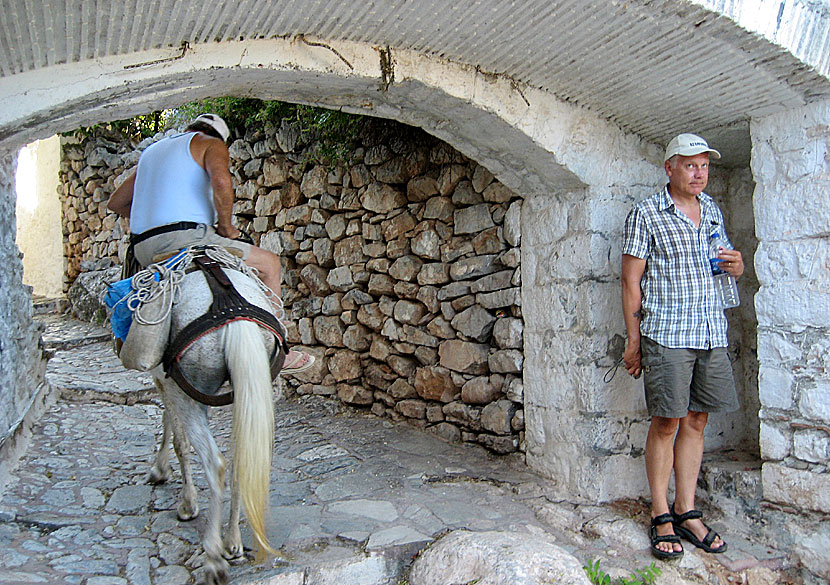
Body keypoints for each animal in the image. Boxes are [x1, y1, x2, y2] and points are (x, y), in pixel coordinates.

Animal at [145, 264, 284, 584]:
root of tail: (232, 307)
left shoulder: (166, 382)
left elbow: (174, 434)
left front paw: (182, 497)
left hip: (194, 394)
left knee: (216, 464)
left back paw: (213, 557)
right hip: (246, 389)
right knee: (241, 460)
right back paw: (232, 541)